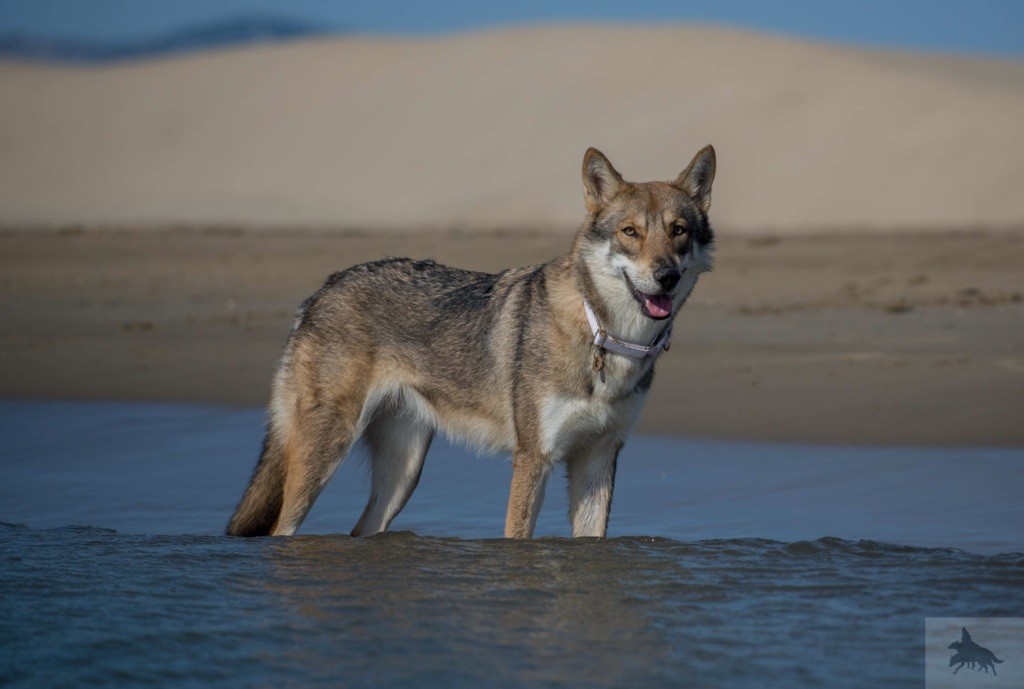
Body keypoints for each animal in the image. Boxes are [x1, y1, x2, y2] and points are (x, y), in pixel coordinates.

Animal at [228, 145, 716, 540]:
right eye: (630, 232)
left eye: (678, 231)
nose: (666, 277)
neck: (605, 335)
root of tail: (322, 290)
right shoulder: (533, 459)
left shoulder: (597, 460)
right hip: (327, 455)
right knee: (280, 530)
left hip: (403, 474)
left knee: (361, 531)